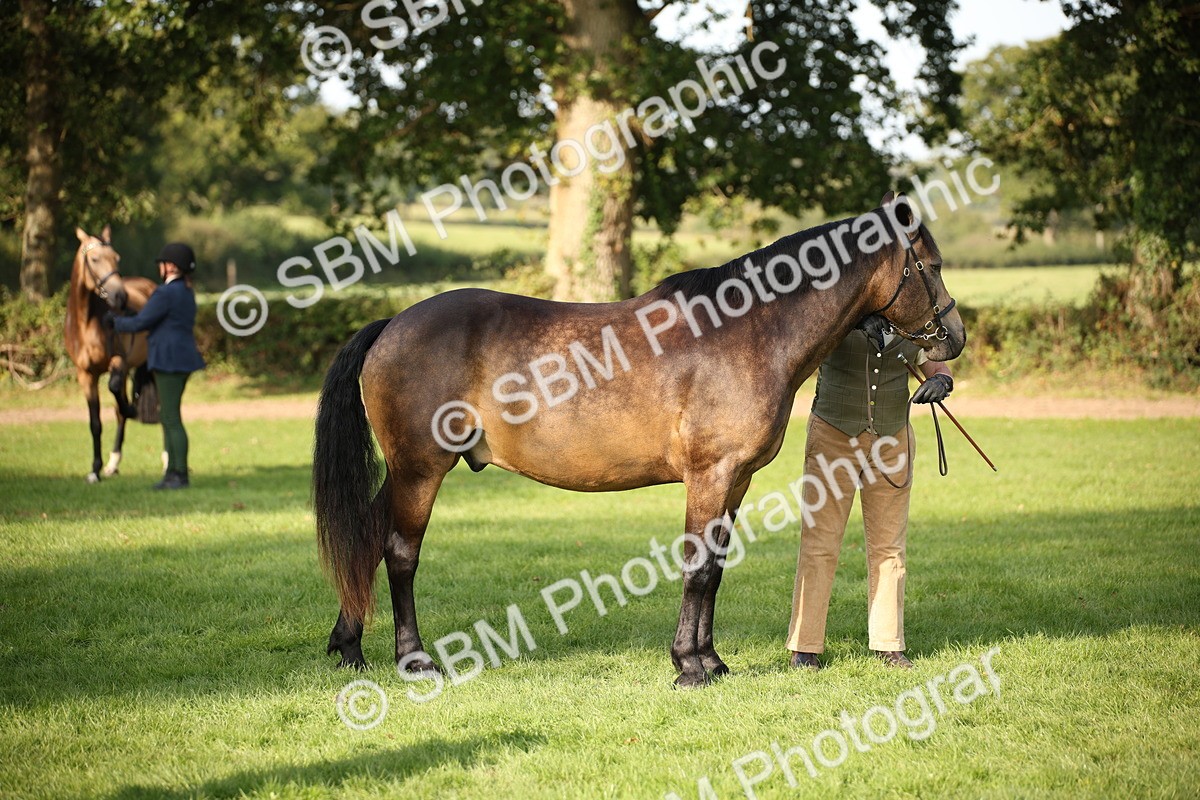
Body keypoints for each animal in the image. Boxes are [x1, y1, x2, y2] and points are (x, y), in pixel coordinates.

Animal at [64, 225, 156, 483]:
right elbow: (95, 423)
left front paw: (132, 408)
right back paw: (112, 463)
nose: (120, 297)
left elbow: (115, 393)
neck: (86, 323)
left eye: (116, 258)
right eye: (94, 259)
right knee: (119, 413)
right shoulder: (86, 375)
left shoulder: (118, 361)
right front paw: (94, 470)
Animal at [313, 194, 966, 688]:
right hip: (420, 470)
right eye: (931, 265)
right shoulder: (712, 474)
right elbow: (697, 567)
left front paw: (711, 661)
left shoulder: (736, 480)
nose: (954, 337)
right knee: (400, 552)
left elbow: (715, 567)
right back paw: (413, 659)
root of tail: (393, 324)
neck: (749, 331)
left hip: (405, 473)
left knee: (366, 537)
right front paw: (689, 668)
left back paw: (349, 646)